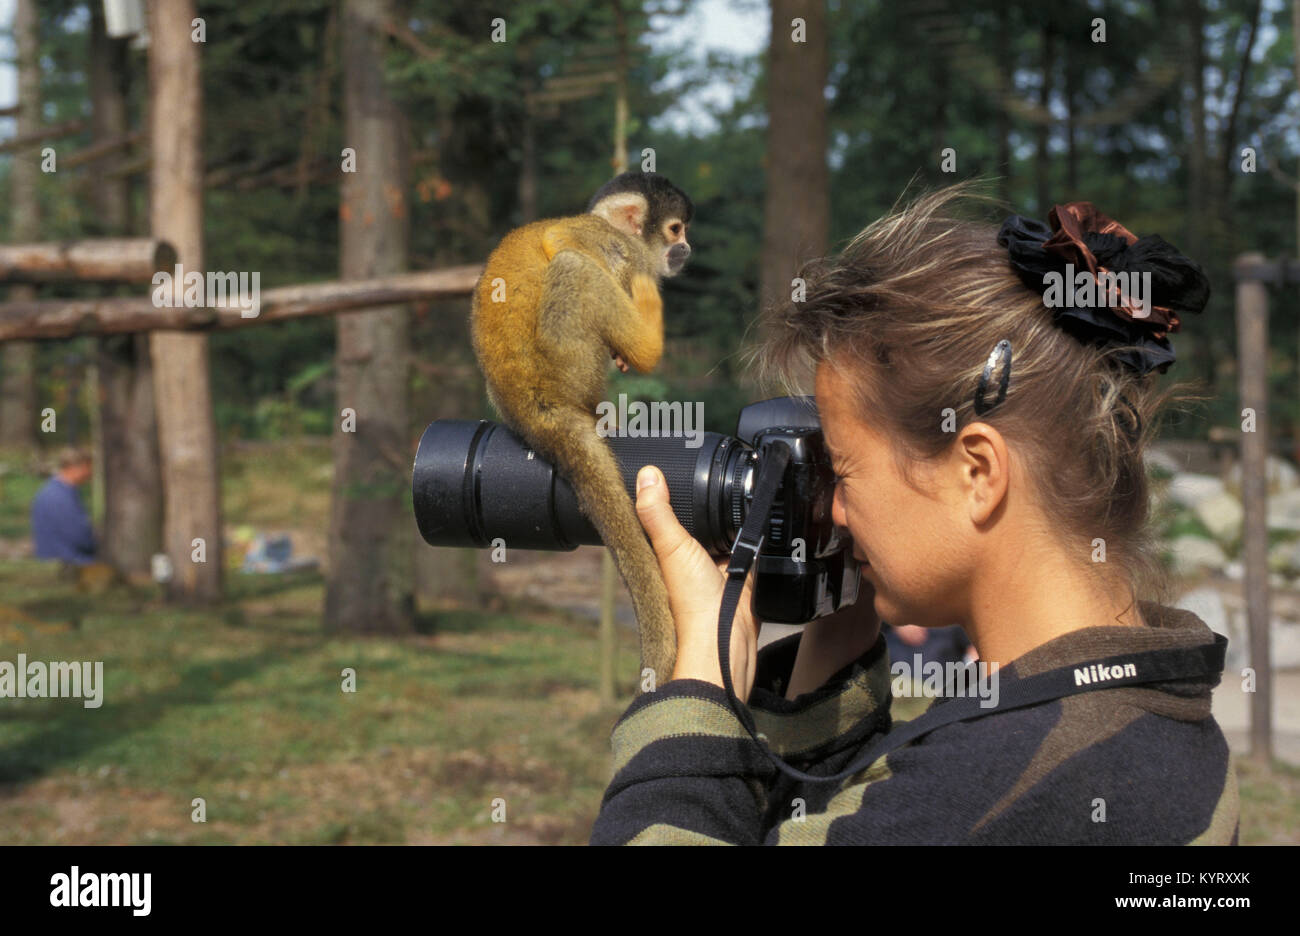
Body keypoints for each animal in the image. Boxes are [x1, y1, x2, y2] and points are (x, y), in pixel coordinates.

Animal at [467, 174, 691, 686]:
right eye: (675, 229)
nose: (686, 248)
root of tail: (534, 408)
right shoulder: (612, 245)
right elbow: (563, 242)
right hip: (568, 363)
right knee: (574, 267)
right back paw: (645, 342)